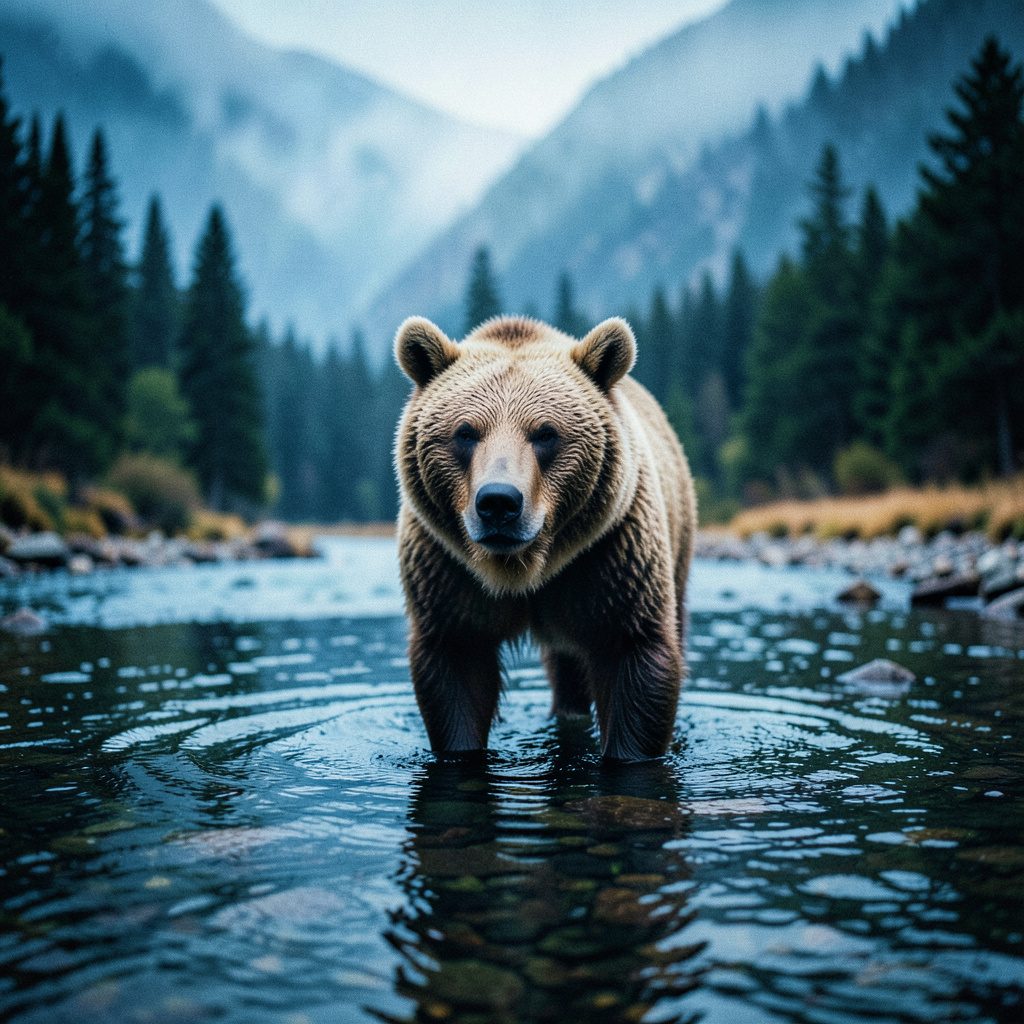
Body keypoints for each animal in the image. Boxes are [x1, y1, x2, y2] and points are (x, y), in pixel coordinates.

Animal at [393, 314, 696, 761]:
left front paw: (626, 752)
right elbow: (456, 669)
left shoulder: (610, 559)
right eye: (465, 432)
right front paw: (462, 749)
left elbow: (634, 656)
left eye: (545, 433)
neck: (523, 569)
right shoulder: (447, 571)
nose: (498, 502)